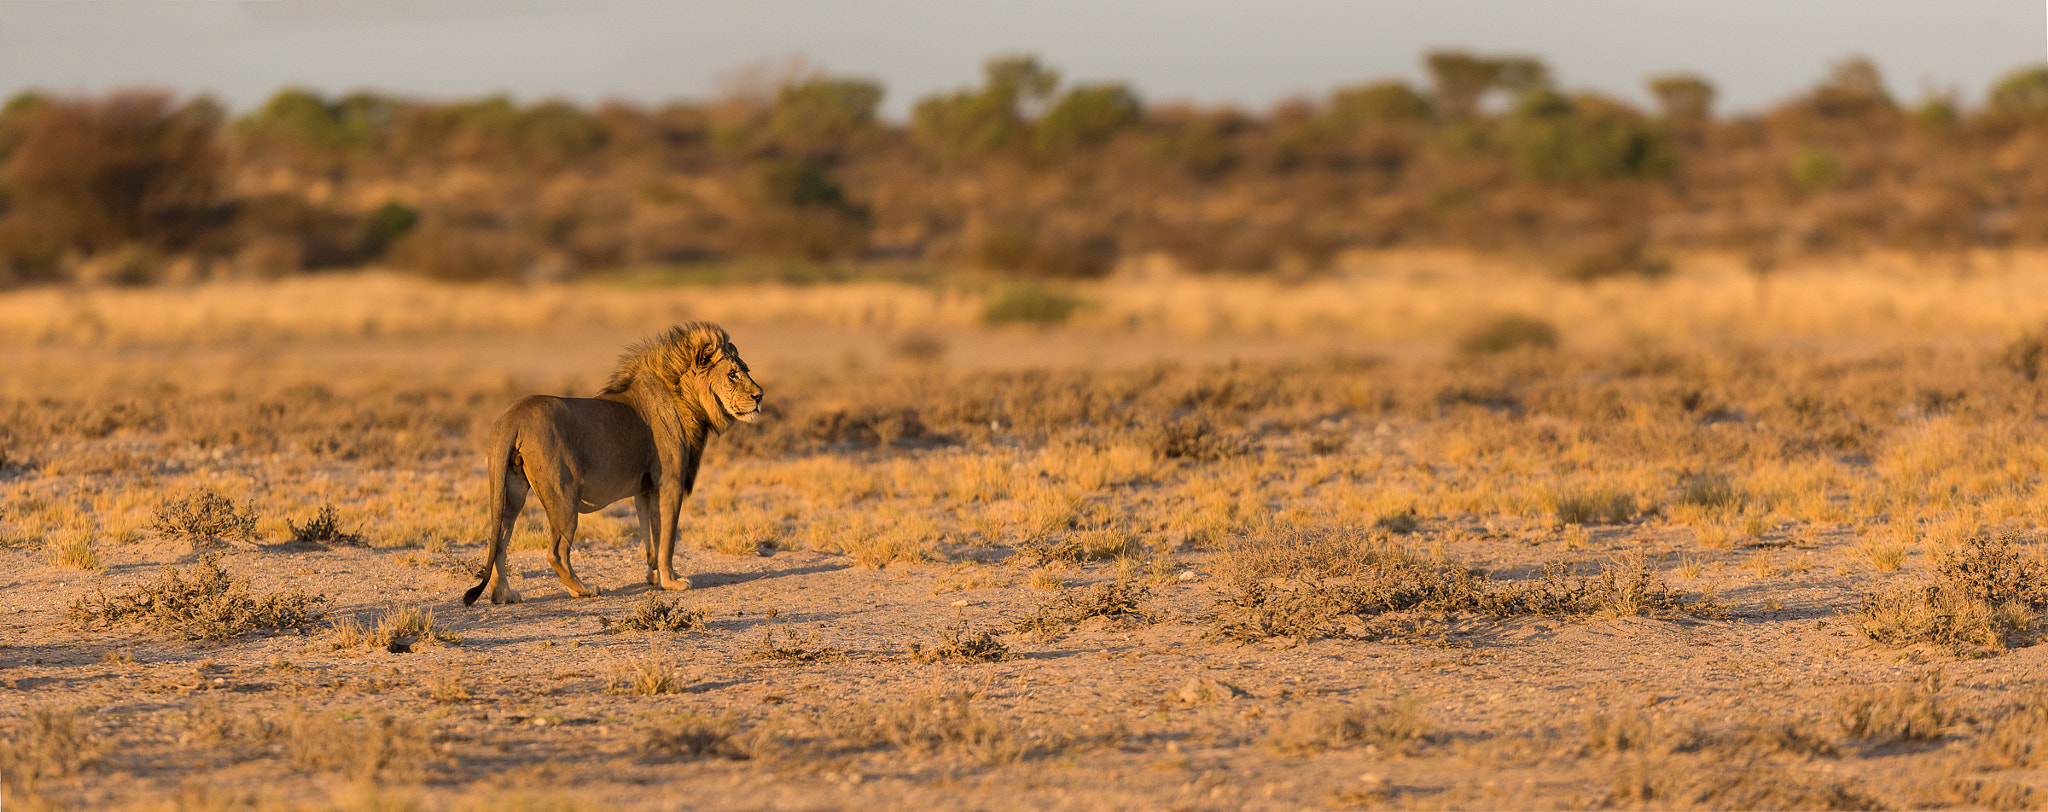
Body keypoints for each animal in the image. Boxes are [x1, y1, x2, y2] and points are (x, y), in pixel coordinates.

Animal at [460, 321, 765, 602]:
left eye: (746, 370)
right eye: (733, 375)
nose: (760, 396)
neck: (688, 400)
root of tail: (511, 418)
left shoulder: (646, 490)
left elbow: (651, 536)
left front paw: (656, 577)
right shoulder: (670, 483)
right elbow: (667, 538)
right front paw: (672, 582)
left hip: (511, 491)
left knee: (499, 541)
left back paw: (504, 594)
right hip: (564, 496)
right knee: (556, 552)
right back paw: (583, 589)